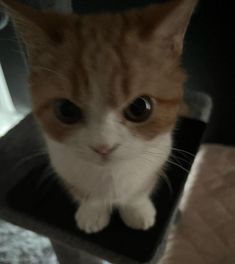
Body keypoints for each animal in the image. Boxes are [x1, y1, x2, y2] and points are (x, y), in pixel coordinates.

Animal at [1, 0, 196, 233]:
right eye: (66, 110)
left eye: (140, 108)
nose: (103, 147)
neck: (110, 176)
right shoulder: (62, 164)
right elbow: (86, 194)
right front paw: (92, 212)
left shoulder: (159, 156)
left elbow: (139, 191)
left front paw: (137, 210)